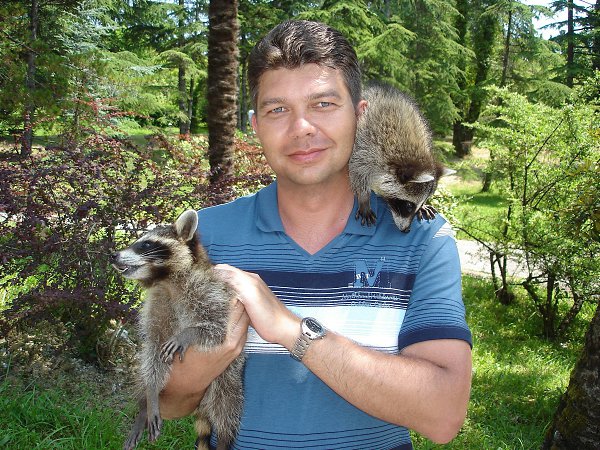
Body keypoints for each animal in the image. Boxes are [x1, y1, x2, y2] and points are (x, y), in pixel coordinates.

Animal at [111, 210, 244, 450]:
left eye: (146, 244)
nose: (113, 255)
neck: (166, 280)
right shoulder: (158, 302)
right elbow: (153, 345)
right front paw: (150, 395)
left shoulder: (212, 292)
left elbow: (218, 329)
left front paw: (188, 334)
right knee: (147, 368)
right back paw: (144, 405)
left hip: (227, 376)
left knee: (226, 405)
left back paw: (224, 438)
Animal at [349, 82, 455, 232]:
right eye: (409, 205)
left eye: (420, 203)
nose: (406, 230)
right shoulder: (364, 146)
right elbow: (357, 173)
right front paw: (364, 198)